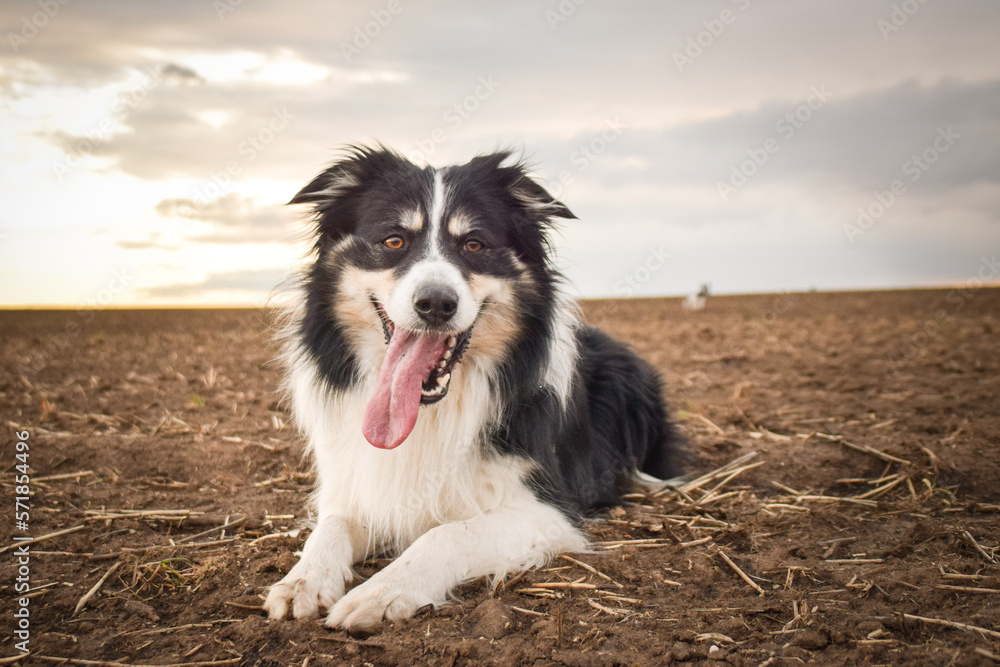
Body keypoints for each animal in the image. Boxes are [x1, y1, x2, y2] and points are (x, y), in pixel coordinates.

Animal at [266, 147, 684, 632]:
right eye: (394, 241)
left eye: (474, 245)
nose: (435, 304)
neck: (430, 413)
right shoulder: (362, 484)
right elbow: (329, 528)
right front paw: (301, 581)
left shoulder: (548, 510)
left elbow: (445, 534)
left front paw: (380, 593)